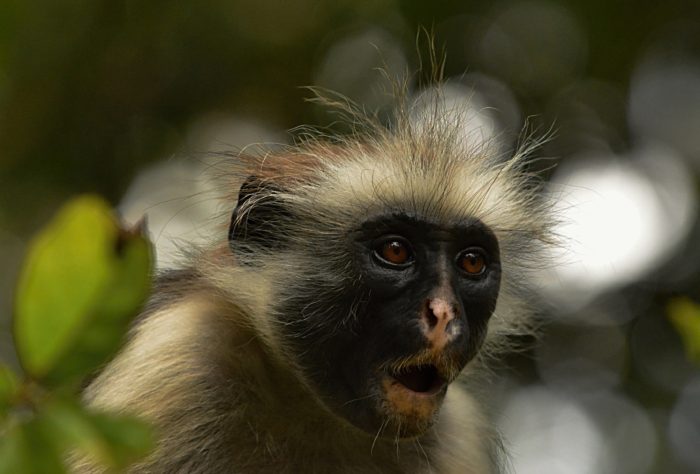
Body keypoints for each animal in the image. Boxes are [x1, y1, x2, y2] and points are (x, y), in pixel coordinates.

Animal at [79, 85, 556, 474]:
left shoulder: (458, 438)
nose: (443, 313)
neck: (312, 413)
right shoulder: (173, 363)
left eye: (471, 263)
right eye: (395, 251)